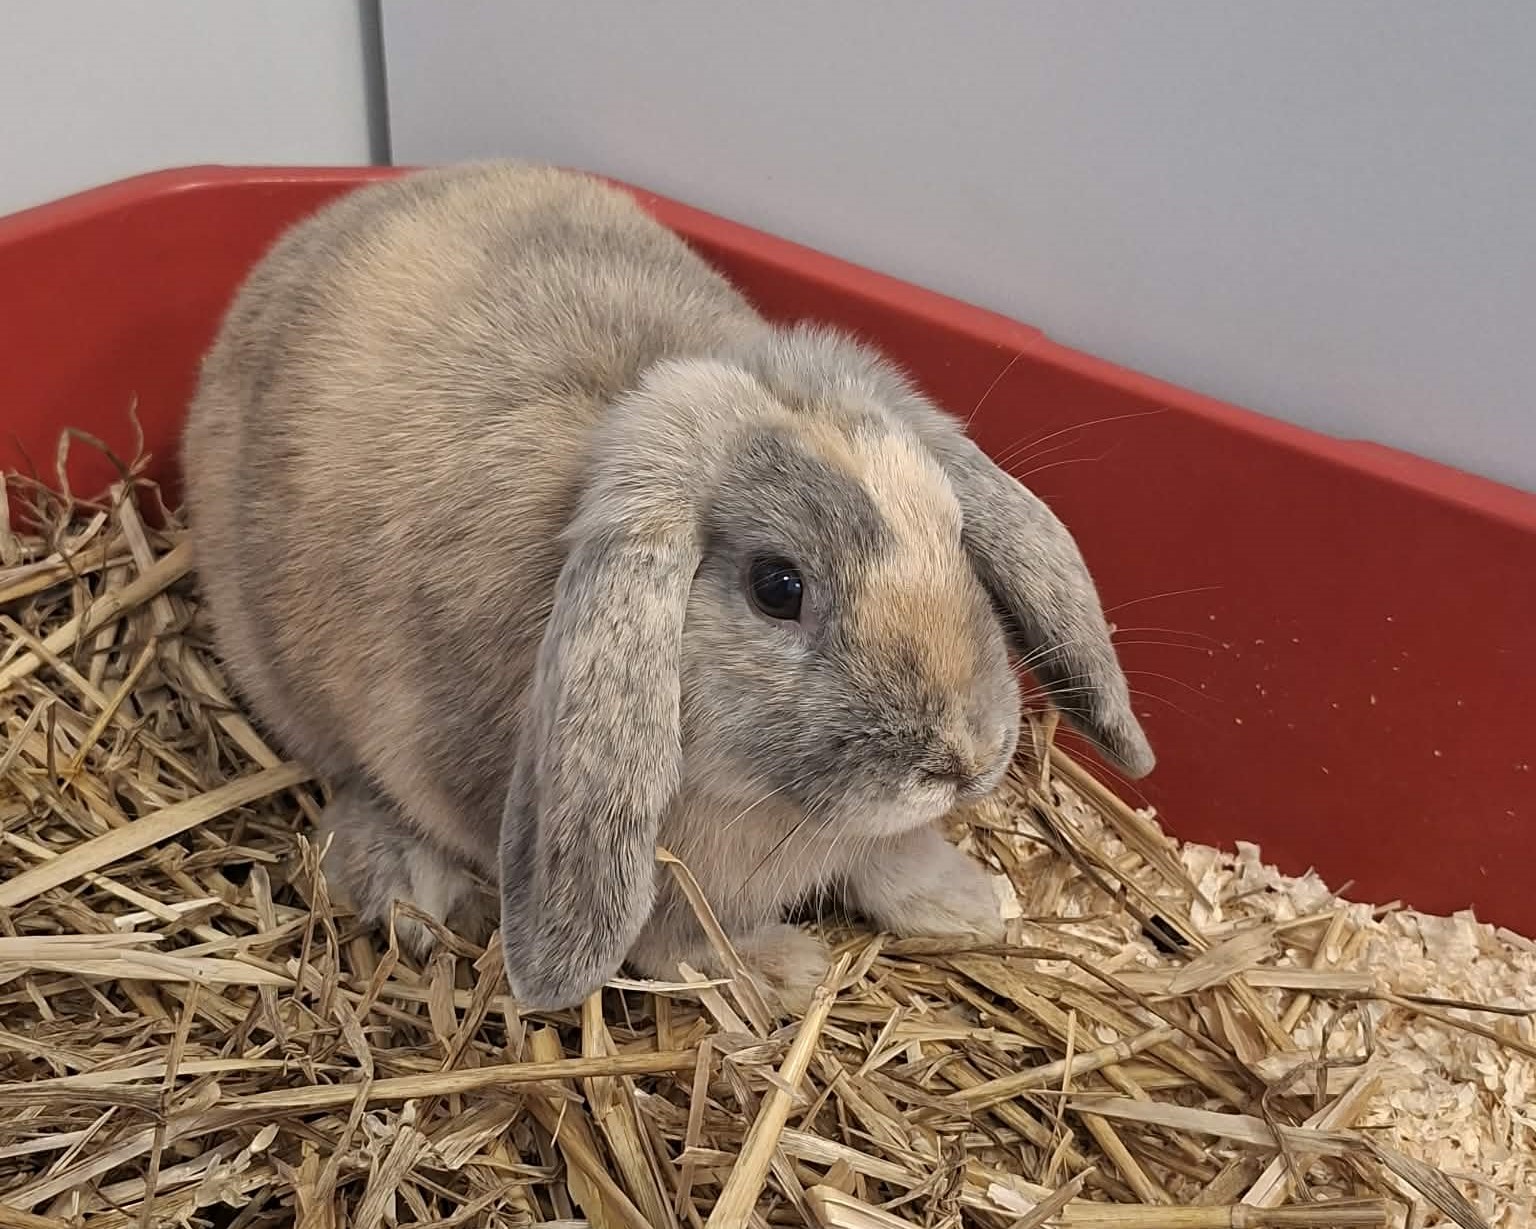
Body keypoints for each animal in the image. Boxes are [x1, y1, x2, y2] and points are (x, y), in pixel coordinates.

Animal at [180, 161, 1153, 1013]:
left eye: (955, 532)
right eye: (777, 585)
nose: (965, 757)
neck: (761, 796)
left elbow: (891, 856)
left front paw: (966, 904)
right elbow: (672, 944)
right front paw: (783, 971)